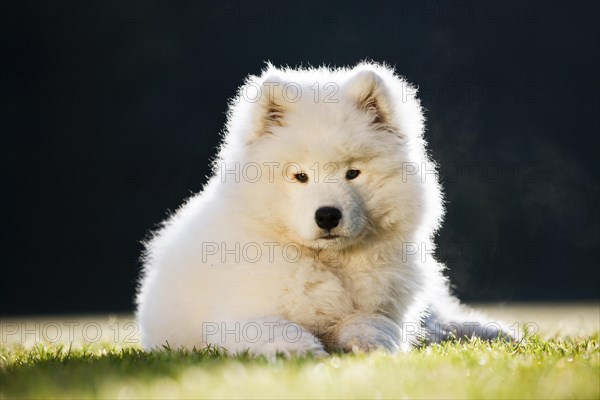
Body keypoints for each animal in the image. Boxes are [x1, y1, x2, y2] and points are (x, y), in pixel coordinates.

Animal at [137, 62, 510, 356]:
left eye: (352, 173)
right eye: (300, 176)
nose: (328, 215)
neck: (327, 262)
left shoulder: (383, 308)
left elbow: (372, 323)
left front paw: (371, 346)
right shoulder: (242, 314)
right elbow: (279, 328)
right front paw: (301, 351)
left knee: (440, 322)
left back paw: (495, 332)